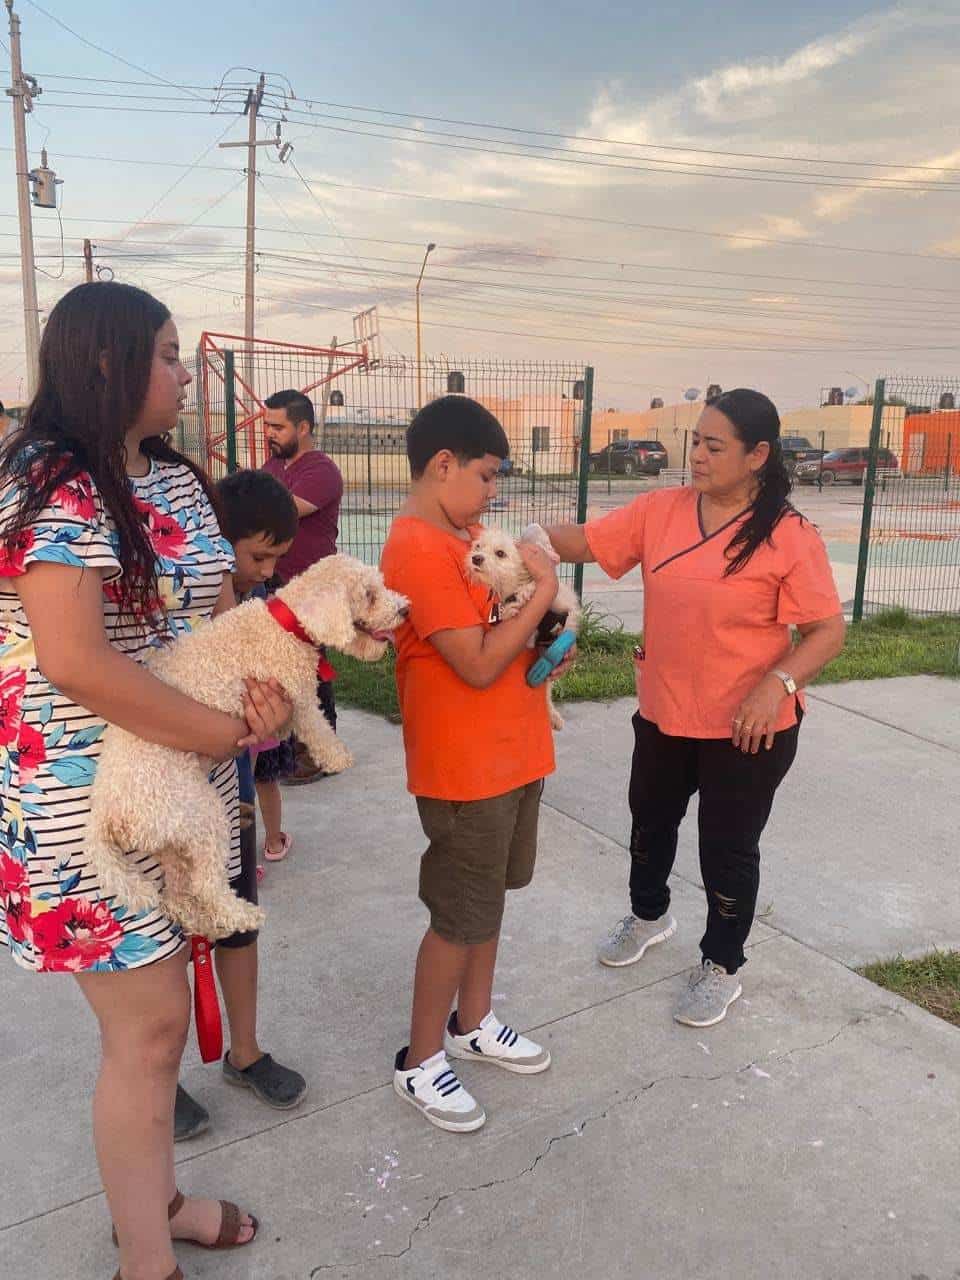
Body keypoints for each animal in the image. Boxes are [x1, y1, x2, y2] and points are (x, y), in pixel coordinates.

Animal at [85, 558, 409, 942]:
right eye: (369, 594)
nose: (405, 609)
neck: (285, 624)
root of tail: (106, 814)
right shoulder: (294, 695)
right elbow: (315, 725)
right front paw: (337, 756)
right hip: (197, 814)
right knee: (207, 885)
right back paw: (242, 916)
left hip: (170, 837)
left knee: (178, 894)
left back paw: (201, 922)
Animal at [463, 524, 578, 732]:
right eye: (478, 546)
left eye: (500, 553)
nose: (476, 558)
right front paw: (511, 608)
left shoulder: (559, 603)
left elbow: (534, 588)